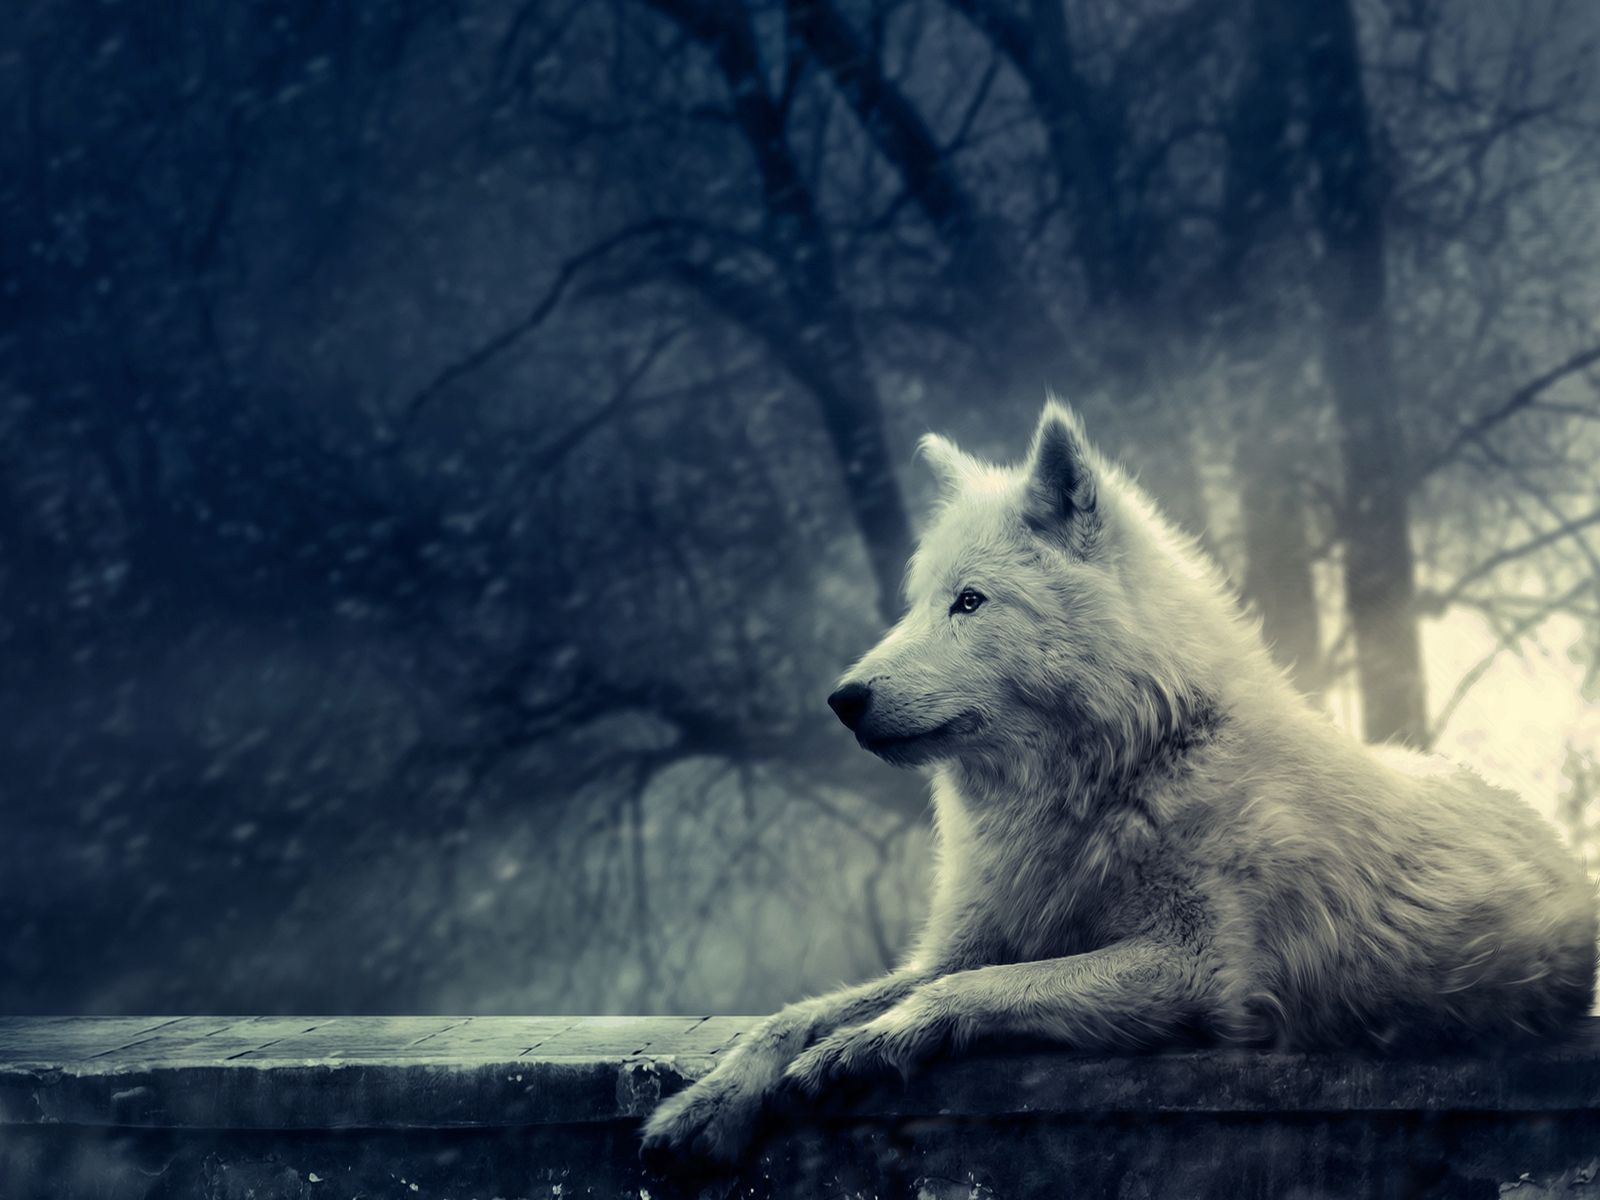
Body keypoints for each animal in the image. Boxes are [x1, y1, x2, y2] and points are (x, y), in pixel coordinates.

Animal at [641, 401, 1597, 1164]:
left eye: (970, 602)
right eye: (917, 604)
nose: (844, 699)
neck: (1124, 769)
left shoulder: (1198, 970)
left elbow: (972, 990)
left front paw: (869, 1045)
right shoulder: (965, 941)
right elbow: (799, 1013)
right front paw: (708, 1103)